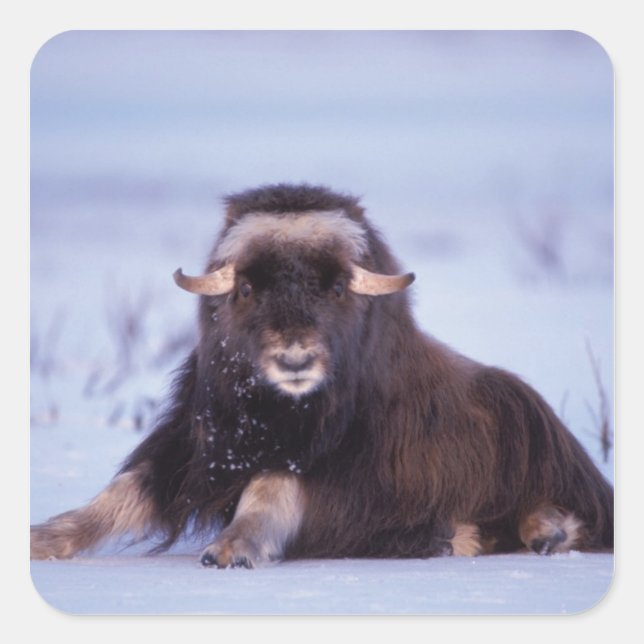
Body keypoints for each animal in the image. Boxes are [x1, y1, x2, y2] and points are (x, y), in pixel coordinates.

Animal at [31, 183, 614, 567]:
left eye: (335, 288)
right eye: (247, 288)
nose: (295, 360)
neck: (275, 412)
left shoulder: (350, 475)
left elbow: (272, 482)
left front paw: (231, 548)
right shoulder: (193, 448)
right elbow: (121, 492)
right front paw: (42, 538)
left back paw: (540, 533)